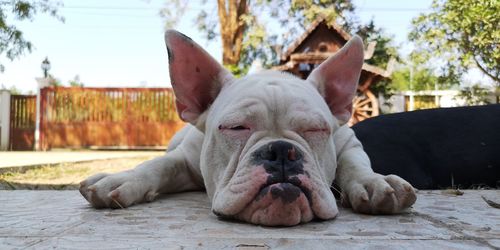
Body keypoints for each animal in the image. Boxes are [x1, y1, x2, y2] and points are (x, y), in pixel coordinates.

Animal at [79, 29, 414, 227]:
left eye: (316, 131)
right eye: (236, 128)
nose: (281, 151)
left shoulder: (348, 142)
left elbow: (354, 163)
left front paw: (375, 183)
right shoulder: (184, 159)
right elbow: (156, 166)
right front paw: (123, 179)